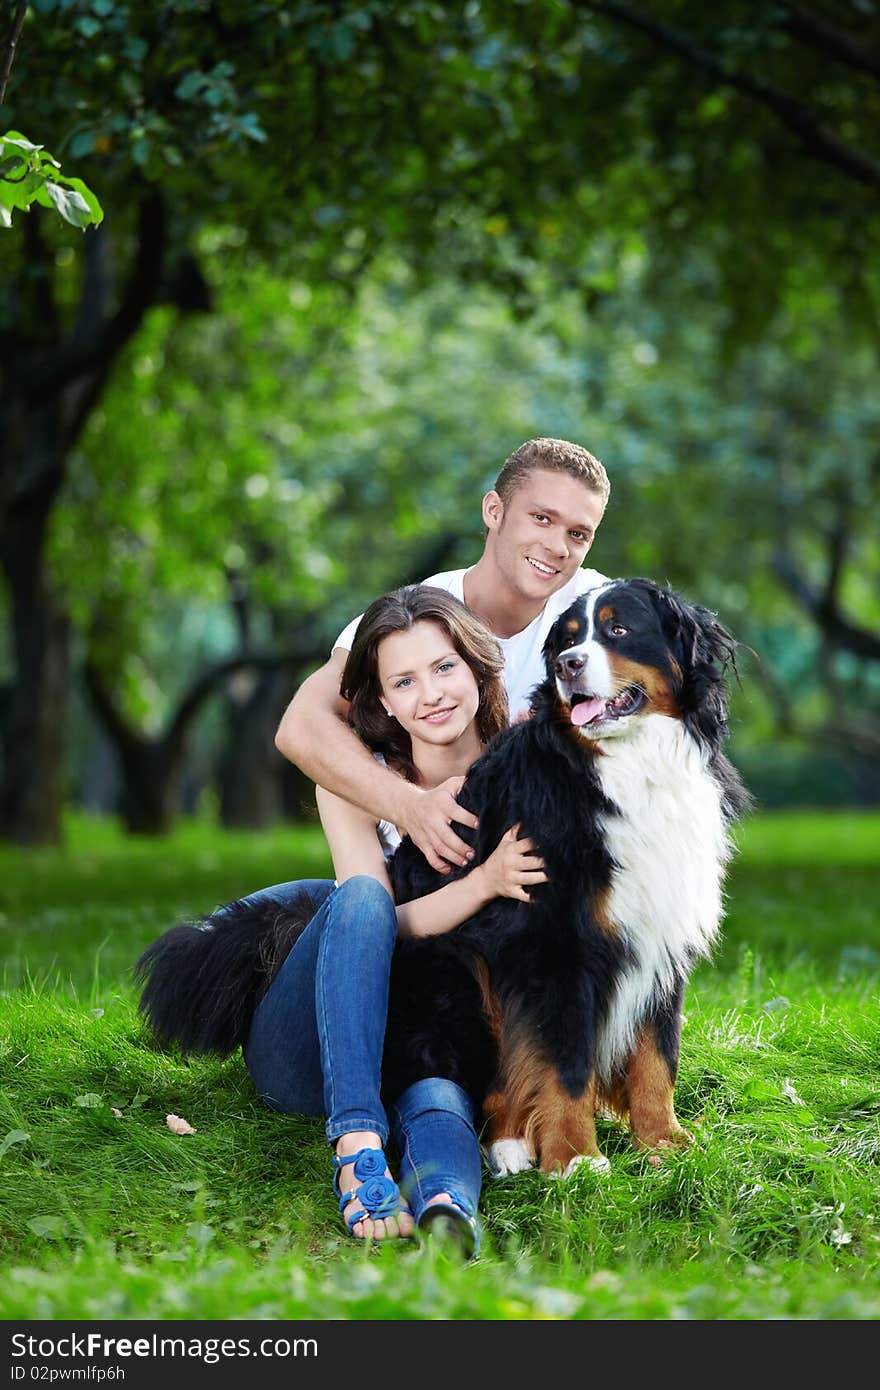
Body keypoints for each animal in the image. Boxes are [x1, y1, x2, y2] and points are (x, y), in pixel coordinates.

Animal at [378, 581, 750, 1178]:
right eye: (568, 641)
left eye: (618, 629)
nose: (567, 666)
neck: (631, 767)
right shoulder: (555, 940)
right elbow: (564, 1059)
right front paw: (575, 1156)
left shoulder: (661, 934)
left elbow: (657, 1053)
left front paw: (663, 1143)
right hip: (456, 966)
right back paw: (510, 1143)